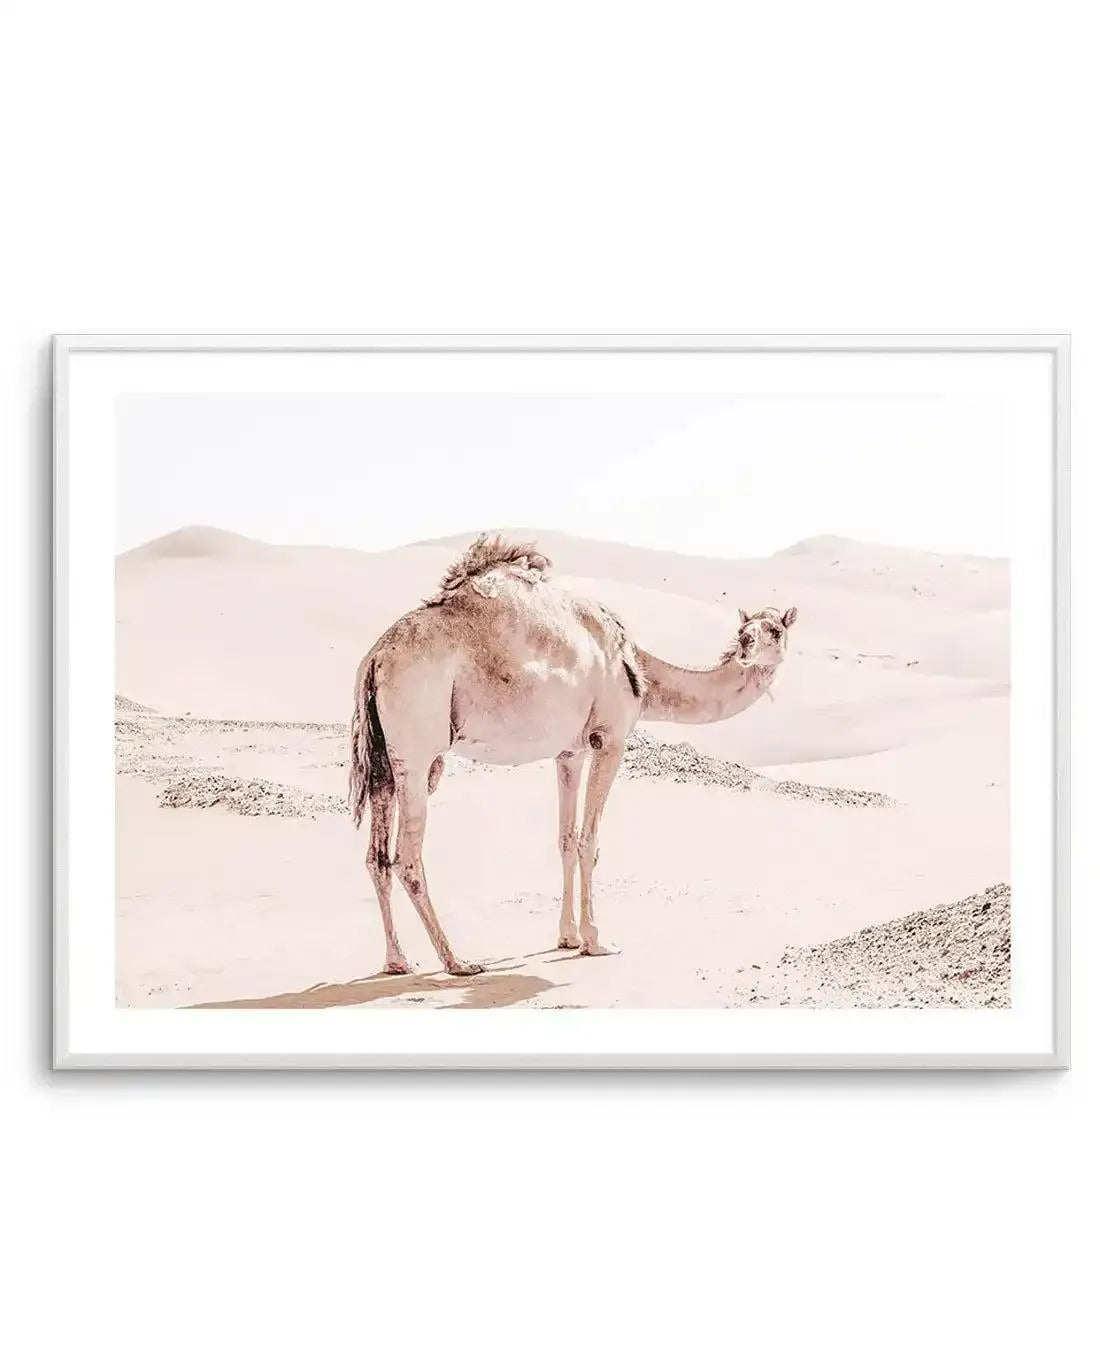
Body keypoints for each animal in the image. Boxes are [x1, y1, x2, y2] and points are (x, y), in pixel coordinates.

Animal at [348, 534, 797, 976]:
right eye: (748, 628)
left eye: (774, 629)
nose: (746, 644)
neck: (639, 671)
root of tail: (376, 657)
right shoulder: (609, 740)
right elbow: (589, 839)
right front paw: (596, 941)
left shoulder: (571, 752)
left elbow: (565, 838)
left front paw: (567, 937)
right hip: (417, 751)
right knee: (407, 858)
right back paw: (457, 961)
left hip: (385, 757)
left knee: (377, 856)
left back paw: (398, 960)